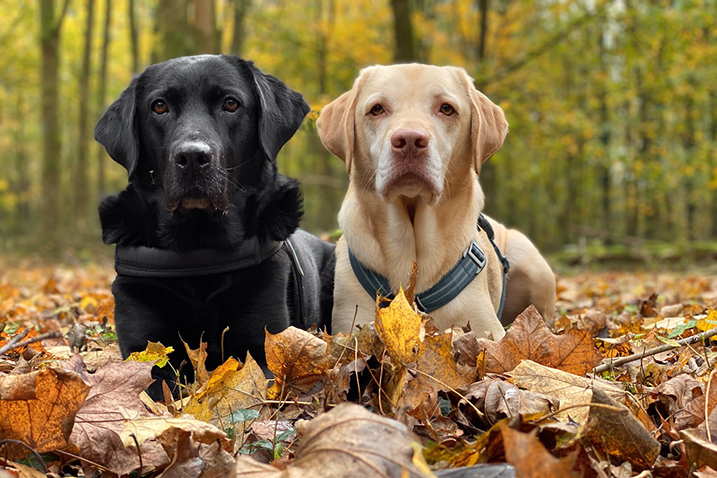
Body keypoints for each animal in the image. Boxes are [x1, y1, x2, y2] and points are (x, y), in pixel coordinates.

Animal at [96, 55, 338, 400]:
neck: (200, 247)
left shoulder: (262, 344)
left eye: (230, 103)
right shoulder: (144, 349)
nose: (192, 157)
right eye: (159, 107)